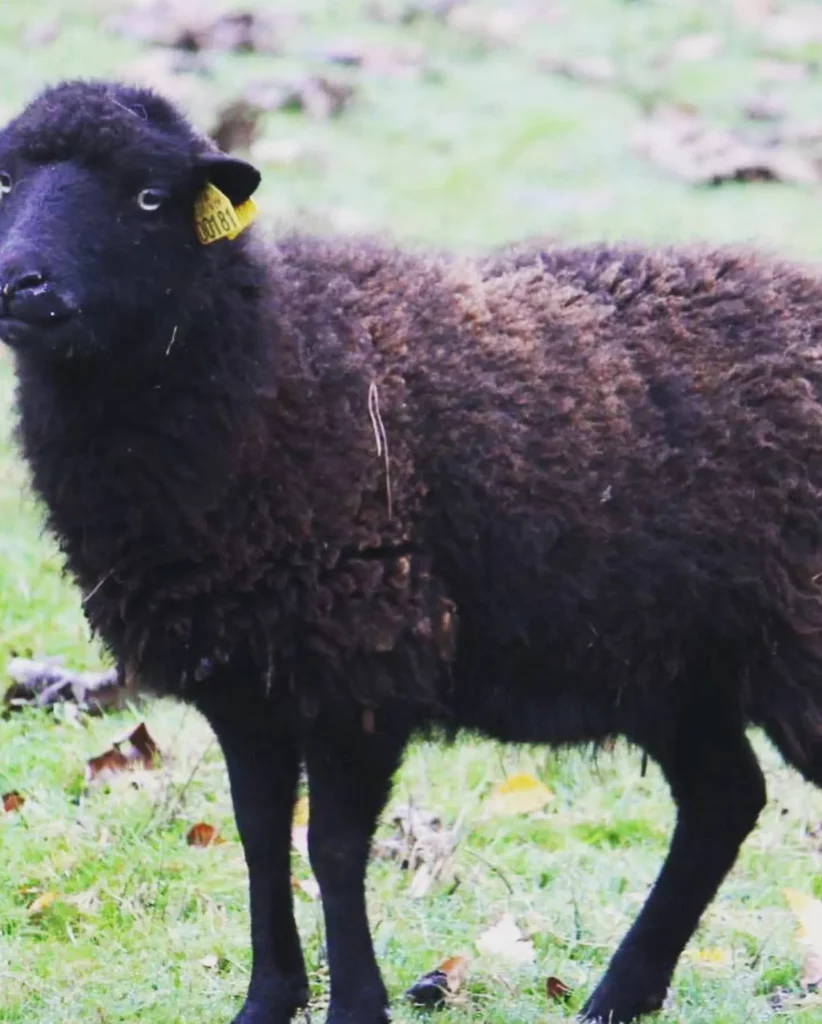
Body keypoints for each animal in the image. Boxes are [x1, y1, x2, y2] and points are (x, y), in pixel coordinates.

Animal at [2, 78, 822, 1024]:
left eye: (147, 196)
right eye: (5, 180)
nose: (19, 282)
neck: (267, 365)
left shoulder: (360, 660)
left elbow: (332, 848)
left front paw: (357, 1003)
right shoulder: (245, 676)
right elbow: (258, 837)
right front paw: (268, 999)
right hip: (674, 661)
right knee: (725, 799)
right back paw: (620, 994)